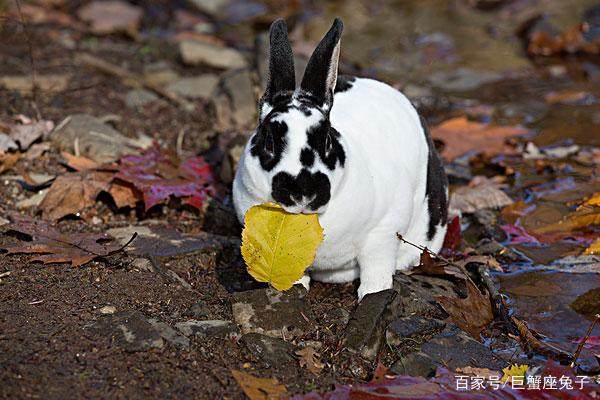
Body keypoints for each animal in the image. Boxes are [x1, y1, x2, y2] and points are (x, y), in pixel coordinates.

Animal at [232, 18, 448, 300]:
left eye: (326, 141)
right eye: (269, 141)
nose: (303, 194)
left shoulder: (384, 232)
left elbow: (376, 267)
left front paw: (373, 293)